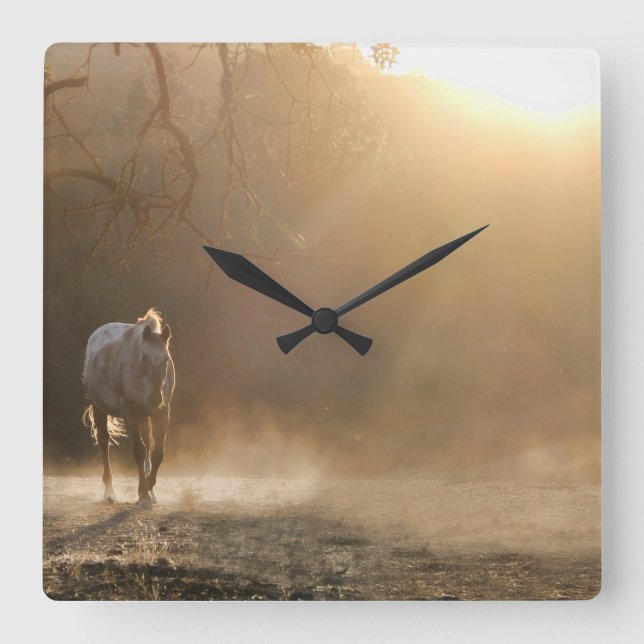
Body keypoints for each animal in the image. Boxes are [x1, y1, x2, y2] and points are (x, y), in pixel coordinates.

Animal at [82, 309, 175, 508]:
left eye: (166, 359)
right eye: (144, 357)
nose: (155, 398)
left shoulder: (161, 413)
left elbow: (157, 453)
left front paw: (149, 487)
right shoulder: (130, 413)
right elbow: (139, 452)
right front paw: (143, 494)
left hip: (145, 417)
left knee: (148, 444)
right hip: (99, 409)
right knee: (104, 442)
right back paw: (109, 492)